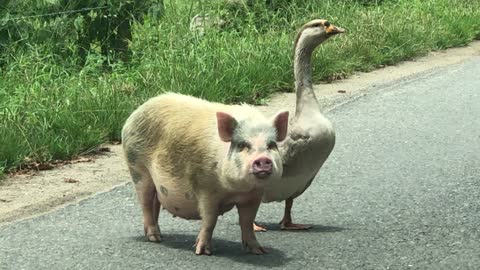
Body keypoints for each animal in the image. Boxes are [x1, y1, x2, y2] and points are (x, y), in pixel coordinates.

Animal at [124, 93, 288, 255]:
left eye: (271, 145)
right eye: (242, 145)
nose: (263, 159)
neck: (236, 189)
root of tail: (134, 114)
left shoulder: (254, 196)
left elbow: (247, 222)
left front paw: (259, 251)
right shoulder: (206, 189)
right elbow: (210, 220)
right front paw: (202, 252)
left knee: (155, 203)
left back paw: (159, 236)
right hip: (138, 168)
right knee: (145, 203)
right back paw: (154, 238)